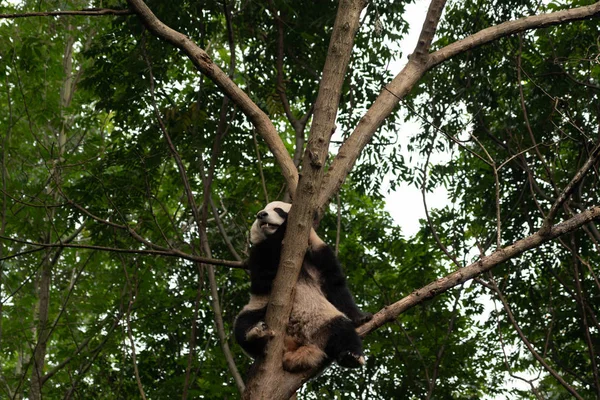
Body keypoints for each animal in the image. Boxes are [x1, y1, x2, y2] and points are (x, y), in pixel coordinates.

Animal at [233, 202, 370, 374]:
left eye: (278, 210)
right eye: (261, 211)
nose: (261, 215)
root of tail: (295, 345)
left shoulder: (319, 253)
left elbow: (336, 286)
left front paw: (362, 317)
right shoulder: (258, 254)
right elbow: (262, 279)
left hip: (321, 321)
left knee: (342, 330)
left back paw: (351, 356)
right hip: (258, 308)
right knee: (241, 326)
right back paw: (256, 333)